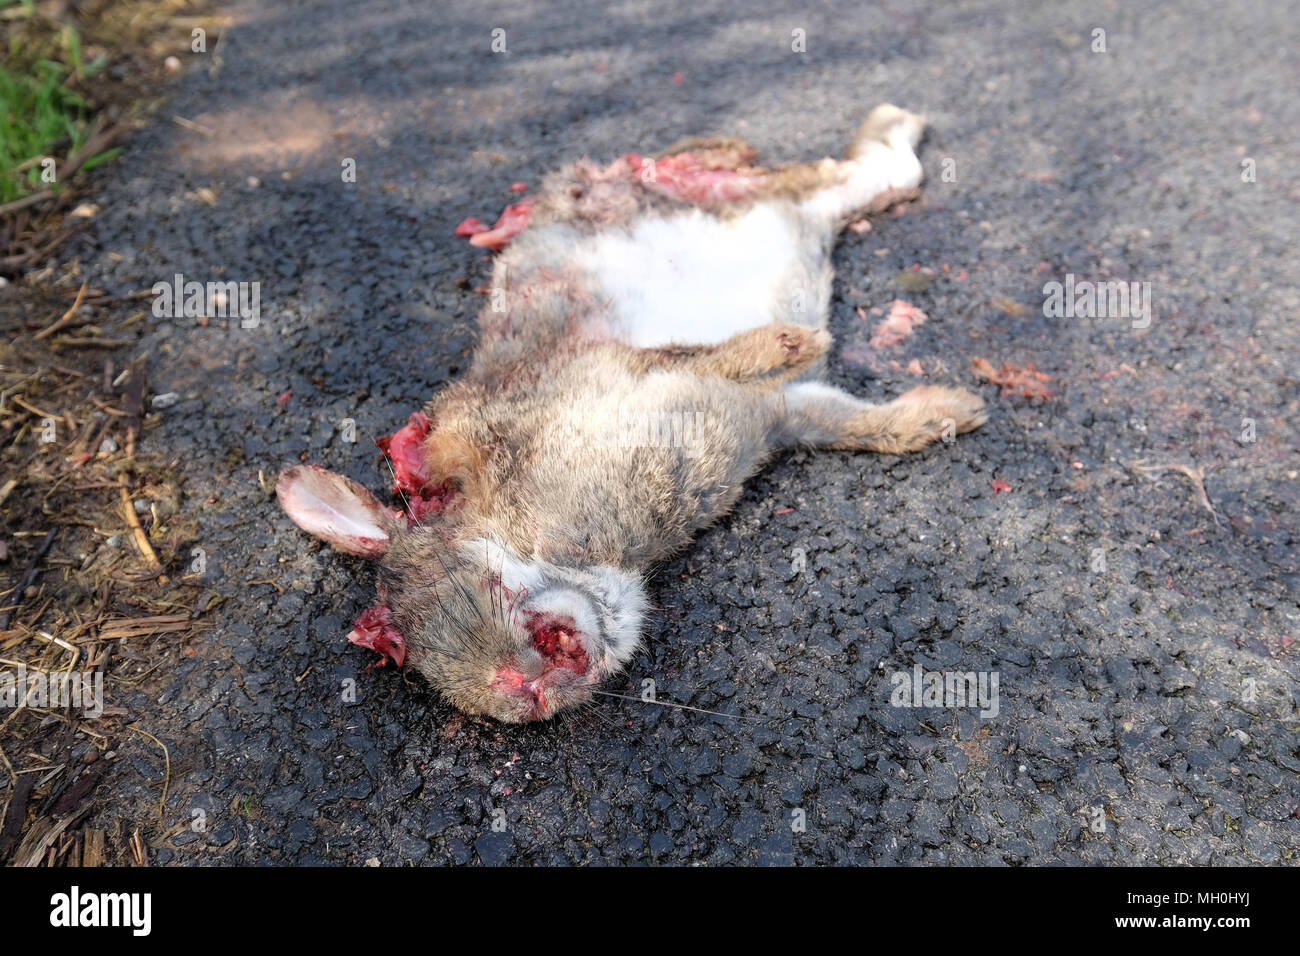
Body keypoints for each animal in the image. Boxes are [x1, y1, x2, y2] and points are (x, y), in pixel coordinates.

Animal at [277, 104, 986, 723]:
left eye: (462, 578)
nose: (530, 689)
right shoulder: (776, 412)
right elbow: (853, 420)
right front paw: (949, 411)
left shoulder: (615, 373)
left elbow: (719, 356)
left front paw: (795, 342)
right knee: (867, 176)